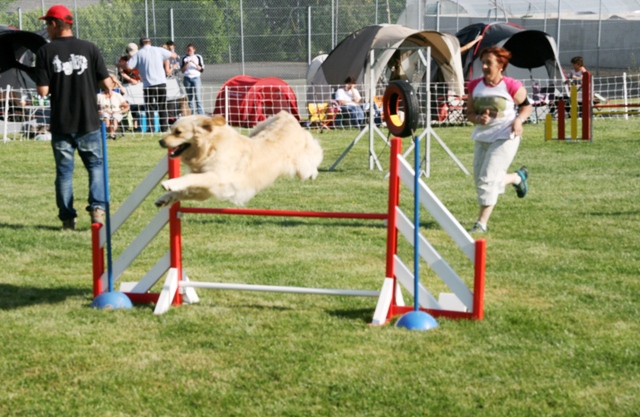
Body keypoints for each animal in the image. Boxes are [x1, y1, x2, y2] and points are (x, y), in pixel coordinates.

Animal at [156, 111, 324, 207]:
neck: (211, 146)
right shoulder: (206, 190)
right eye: (171, 129)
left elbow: (190, 178)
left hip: (302, 166)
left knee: (313, 159)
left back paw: (314, 173)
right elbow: (185, 190)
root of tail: (287, 116)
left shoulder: (218, 177)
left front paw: (169, 183)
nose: (160, 141)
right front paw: (165, 198)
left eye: (178, 132)